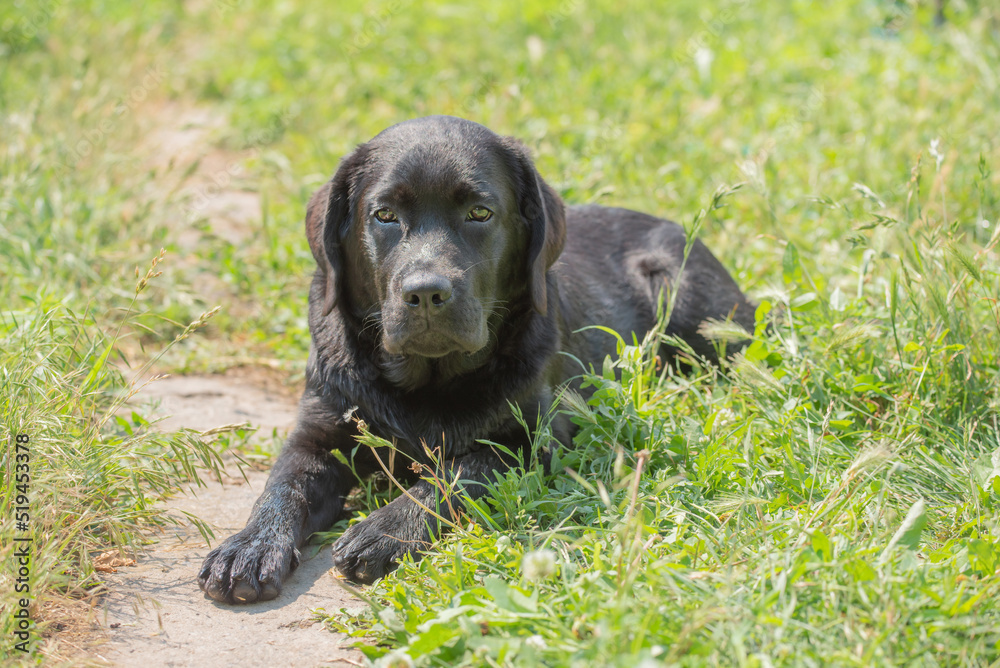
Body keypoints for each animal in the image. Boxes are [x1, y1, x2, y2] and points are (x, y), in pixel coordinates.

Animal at [199, 116, 752, 604]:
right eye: (384, 216)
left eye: (480, 213)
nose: (426, 292)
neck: (426, 380)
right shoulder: (320, 430)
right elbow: (283, 485)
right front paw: (249, 547)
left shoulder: (535, 439)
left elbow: (461, 470)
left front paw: (386, 529)